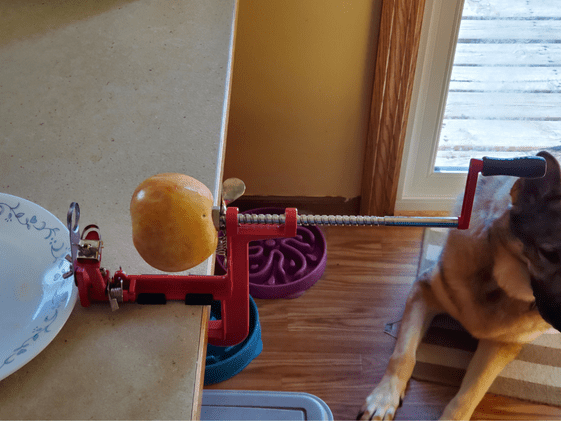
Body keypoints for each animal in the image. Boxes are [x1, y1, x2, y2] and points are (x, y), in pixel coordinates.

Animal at [356, 150, 560, 416]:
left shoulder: (501, 344)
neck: (498, 287)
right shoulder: (423, 292)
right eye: (549, 254)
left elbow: (469, 395)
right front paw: (383, 398)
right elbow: (403, 356)